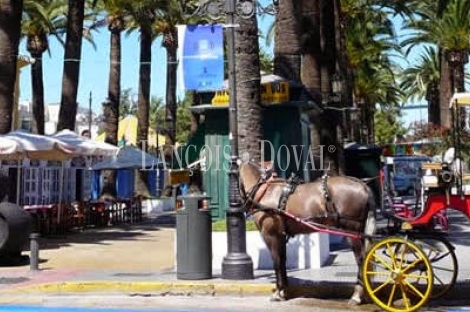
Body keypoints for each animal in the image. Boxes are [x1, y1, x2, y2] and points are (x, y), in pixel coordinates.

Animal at [241, 161, 376, 304]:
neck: (264, 191)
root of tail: (362, 185)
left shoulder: (271, 235)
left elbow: (276, 262)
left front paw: (278, 292)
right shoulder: (280, 236)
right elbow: (282, 261)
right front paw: (284, 291)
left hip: (352, 231)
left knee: (361, 260)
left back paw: (356, 295)